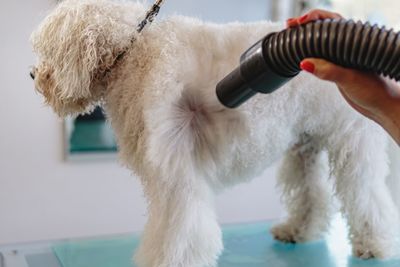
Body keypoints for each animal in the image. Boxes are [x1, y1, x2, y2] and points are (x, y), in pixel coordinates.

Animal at [30, 0, 400, 266]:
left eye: (49, 50)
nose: (33, 74)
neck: (134, 53)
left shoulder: (176, 177)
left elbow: (179, 233)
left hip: (352, 143)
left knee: (367, 196)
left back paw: (375, 244)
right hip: (304, 146)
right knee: (314, 196)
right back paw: (298, 230)